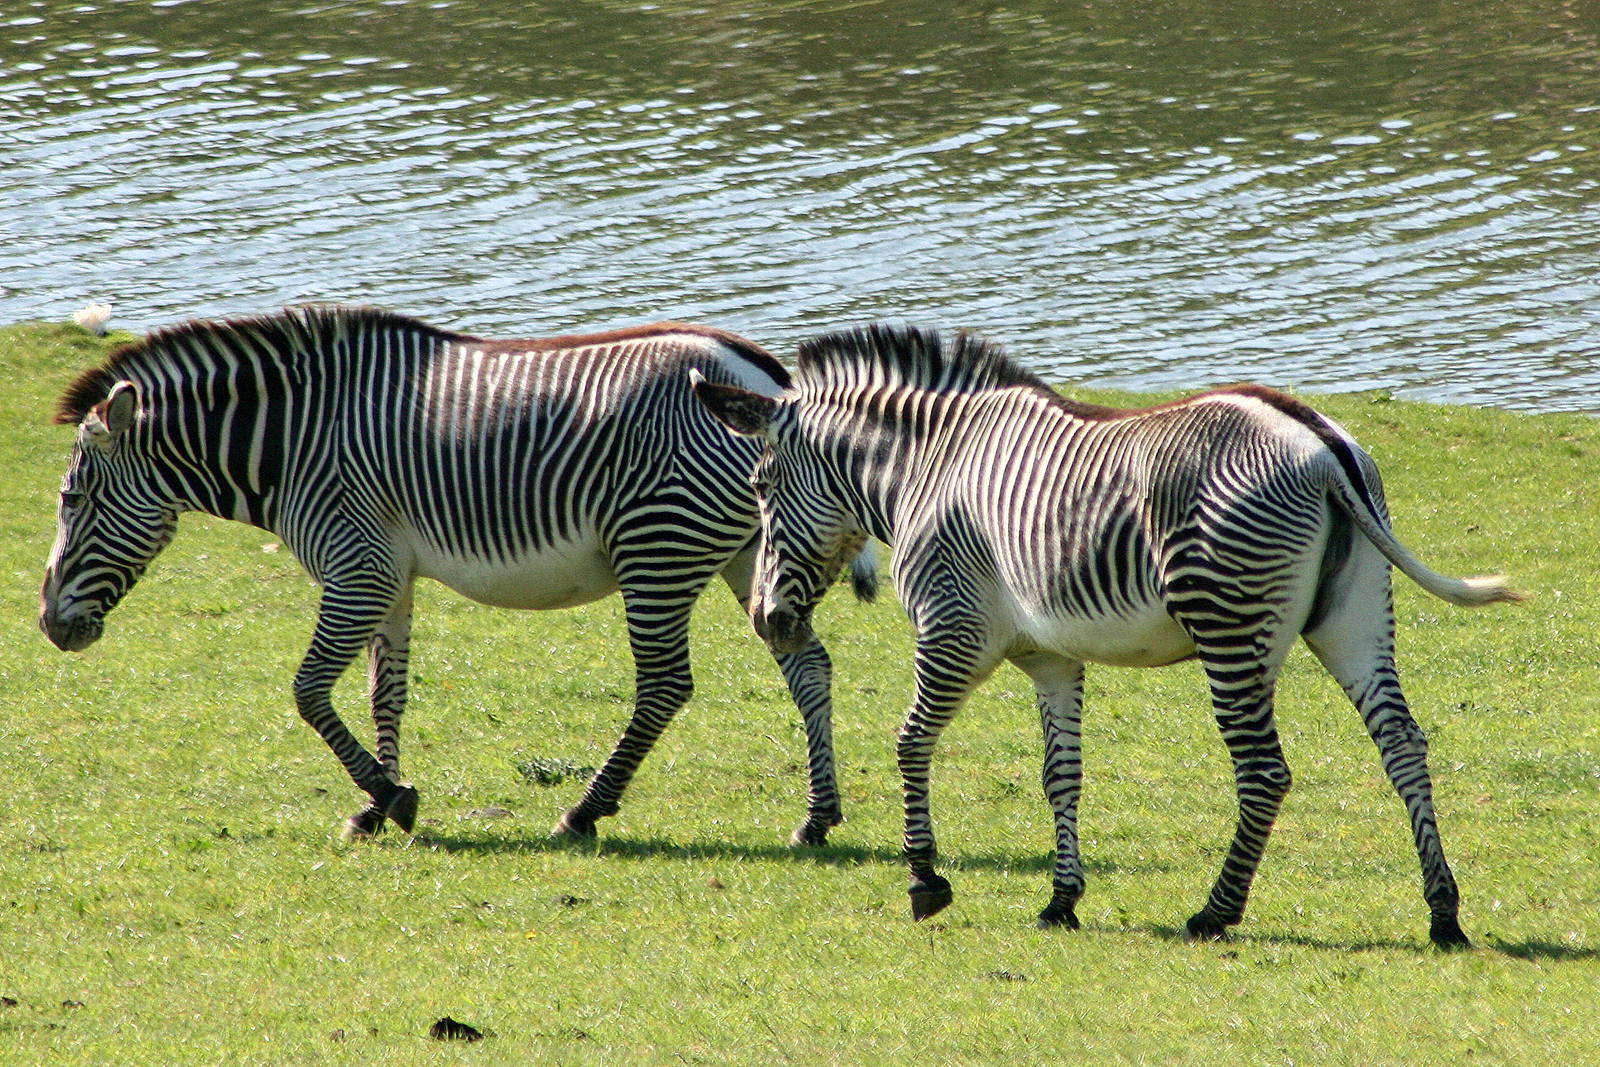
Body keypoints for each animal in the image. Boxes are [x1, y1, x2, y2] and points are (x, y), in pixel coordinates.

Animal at [39, 304, 873, 846]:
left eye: (72, 499)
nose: (49, 625)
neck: (293, 439)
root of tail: (761, 376)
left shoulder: (355, 568)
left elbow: (308, 690)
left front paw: (389, 796)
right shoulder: (390, 573)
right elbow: (386, 691)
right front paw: (376, 804)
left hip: (657, 549)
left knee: (666, 683)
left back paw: (584, 812)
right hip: (753, 551)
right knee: (807, 663)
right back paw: (817, 816)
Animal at [692, 323, 1524, 949]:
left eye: (760, 486)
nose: (769, 619)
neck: (926, 466)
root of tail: (1321, 445)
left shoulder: (952, 628)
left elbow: (910, 741)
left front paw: (925, 879)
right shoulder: (1051, 656)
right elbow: (1061, 774)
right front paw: (1062, 900)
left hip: (1228, 624)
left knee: (1264, 770)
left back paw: (1215, 912)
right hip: (1353, 621)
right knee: (1403, 744)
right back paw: (1444, 913)